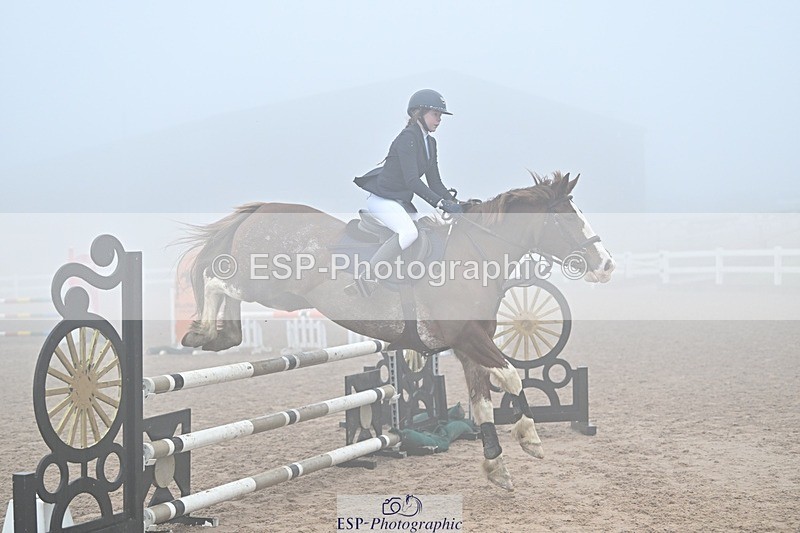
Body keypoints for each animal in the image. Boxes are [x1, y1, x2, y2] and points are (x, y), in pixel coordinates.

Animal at [179, 171, 614, 490]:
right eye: (565, 218)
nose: (606, 265)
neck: (472, 257)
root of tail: (262, 208)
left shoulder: (467, 347)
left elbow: (483, 403)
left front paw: (497, 467)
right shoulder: (469, 339)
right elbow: (510, 378)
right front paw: (529, 440)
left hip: (273, 290)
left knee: (225, 288)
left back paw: (224, 336)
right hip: (268, 286)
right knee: (217, 280)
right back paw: (201, 333)